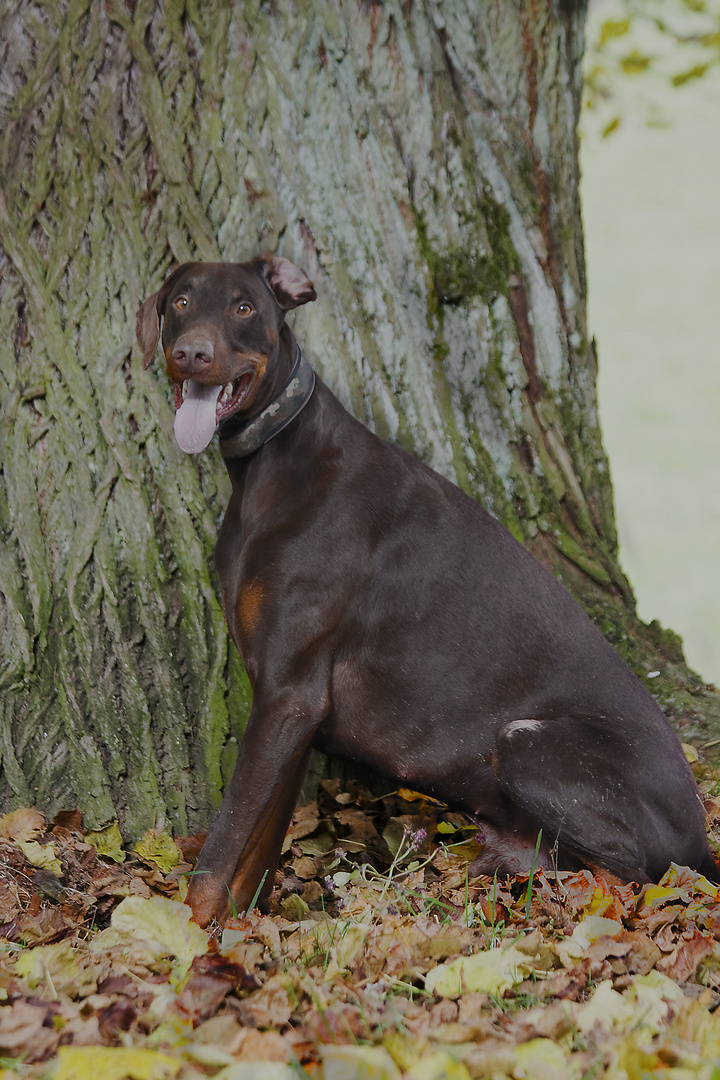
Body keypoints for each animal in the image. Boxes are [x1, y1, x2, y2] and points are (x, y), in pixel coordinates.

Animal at [138, 257, 716, 924]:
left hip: (528, 745)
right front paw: (237, 932)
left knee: (629, 876)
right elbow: (251, 855)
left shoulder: (287, 696)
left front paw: (182, 936)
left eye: (243, 308)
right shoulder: (294, 710)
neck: (273, 465)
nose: (191, 353)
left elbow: (221, 848)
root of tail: (701, 845)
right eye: (181, 301)